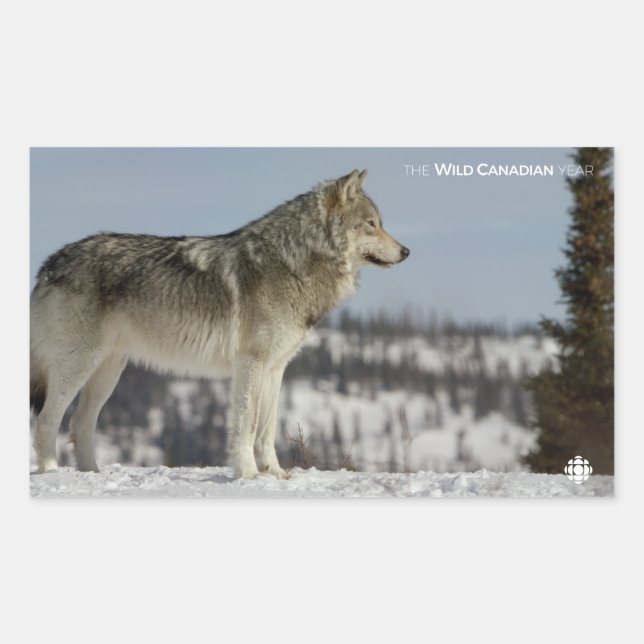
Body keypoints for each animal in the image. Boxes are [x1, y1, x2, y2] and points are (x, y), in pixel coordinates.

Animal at [30, 169, 410, 479]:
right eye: (371, 224)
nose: (406, 252)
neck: (293, 263)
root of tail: (50, 263)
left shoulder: (276, 368)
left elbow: (266, 428)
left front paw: (275, 473)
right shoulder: (250, 364)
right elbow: (245, 425)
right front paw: (249, 474)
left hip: (109, 370)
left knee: (79, 422)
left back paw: (92, 474)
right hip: (78, 366)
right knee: (47, 419)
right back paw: (53, 473)